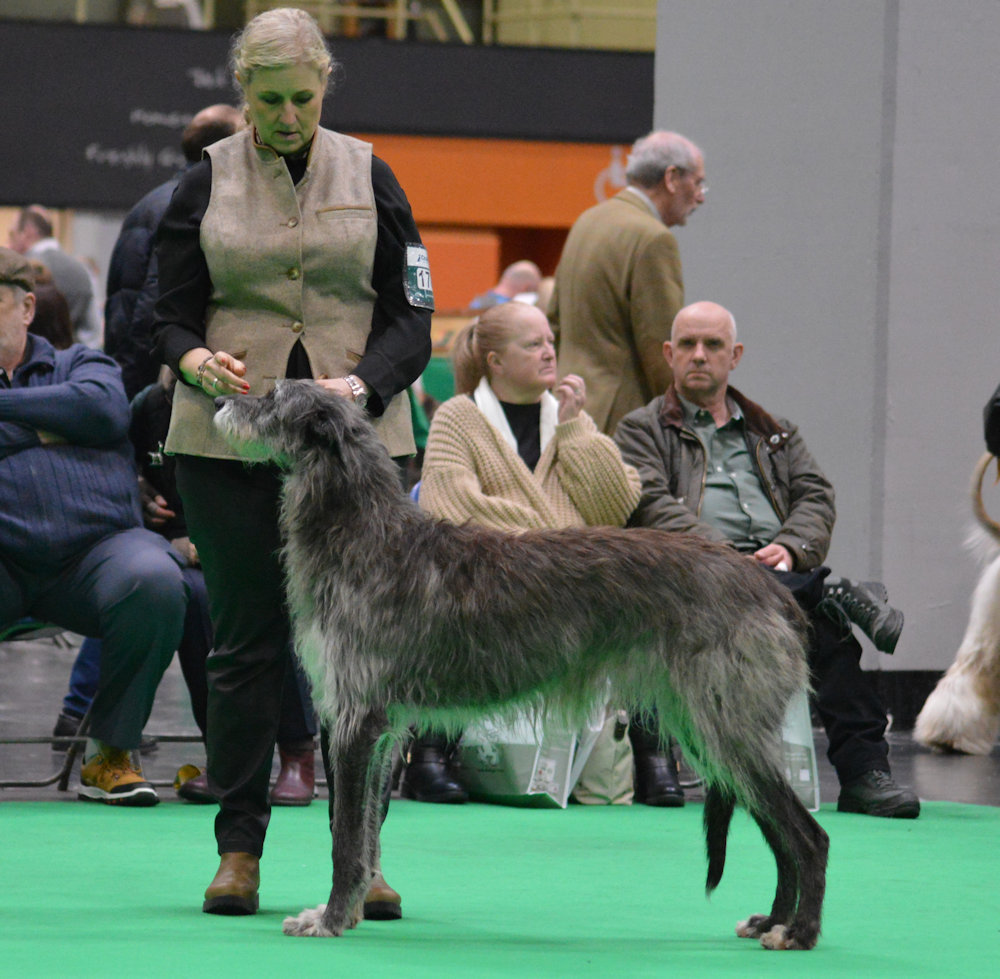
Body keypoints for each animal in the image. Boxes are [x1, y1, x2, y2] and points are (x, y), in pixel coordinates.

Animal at [213, 380, 828, 948]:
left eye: (272, 397)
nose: (219, 400)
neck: (364, 531)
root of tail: (773, 588)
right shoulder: (384, 728)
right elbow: (364, 833)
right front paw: (350, 910)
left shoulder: (357, 720)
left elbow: (345, 835)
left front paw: (330, 918)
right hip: (712, 727)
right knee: (779, 830)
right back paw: (773, 920)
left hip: (725, 720)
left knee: (808, 835)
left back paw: (799, 932)